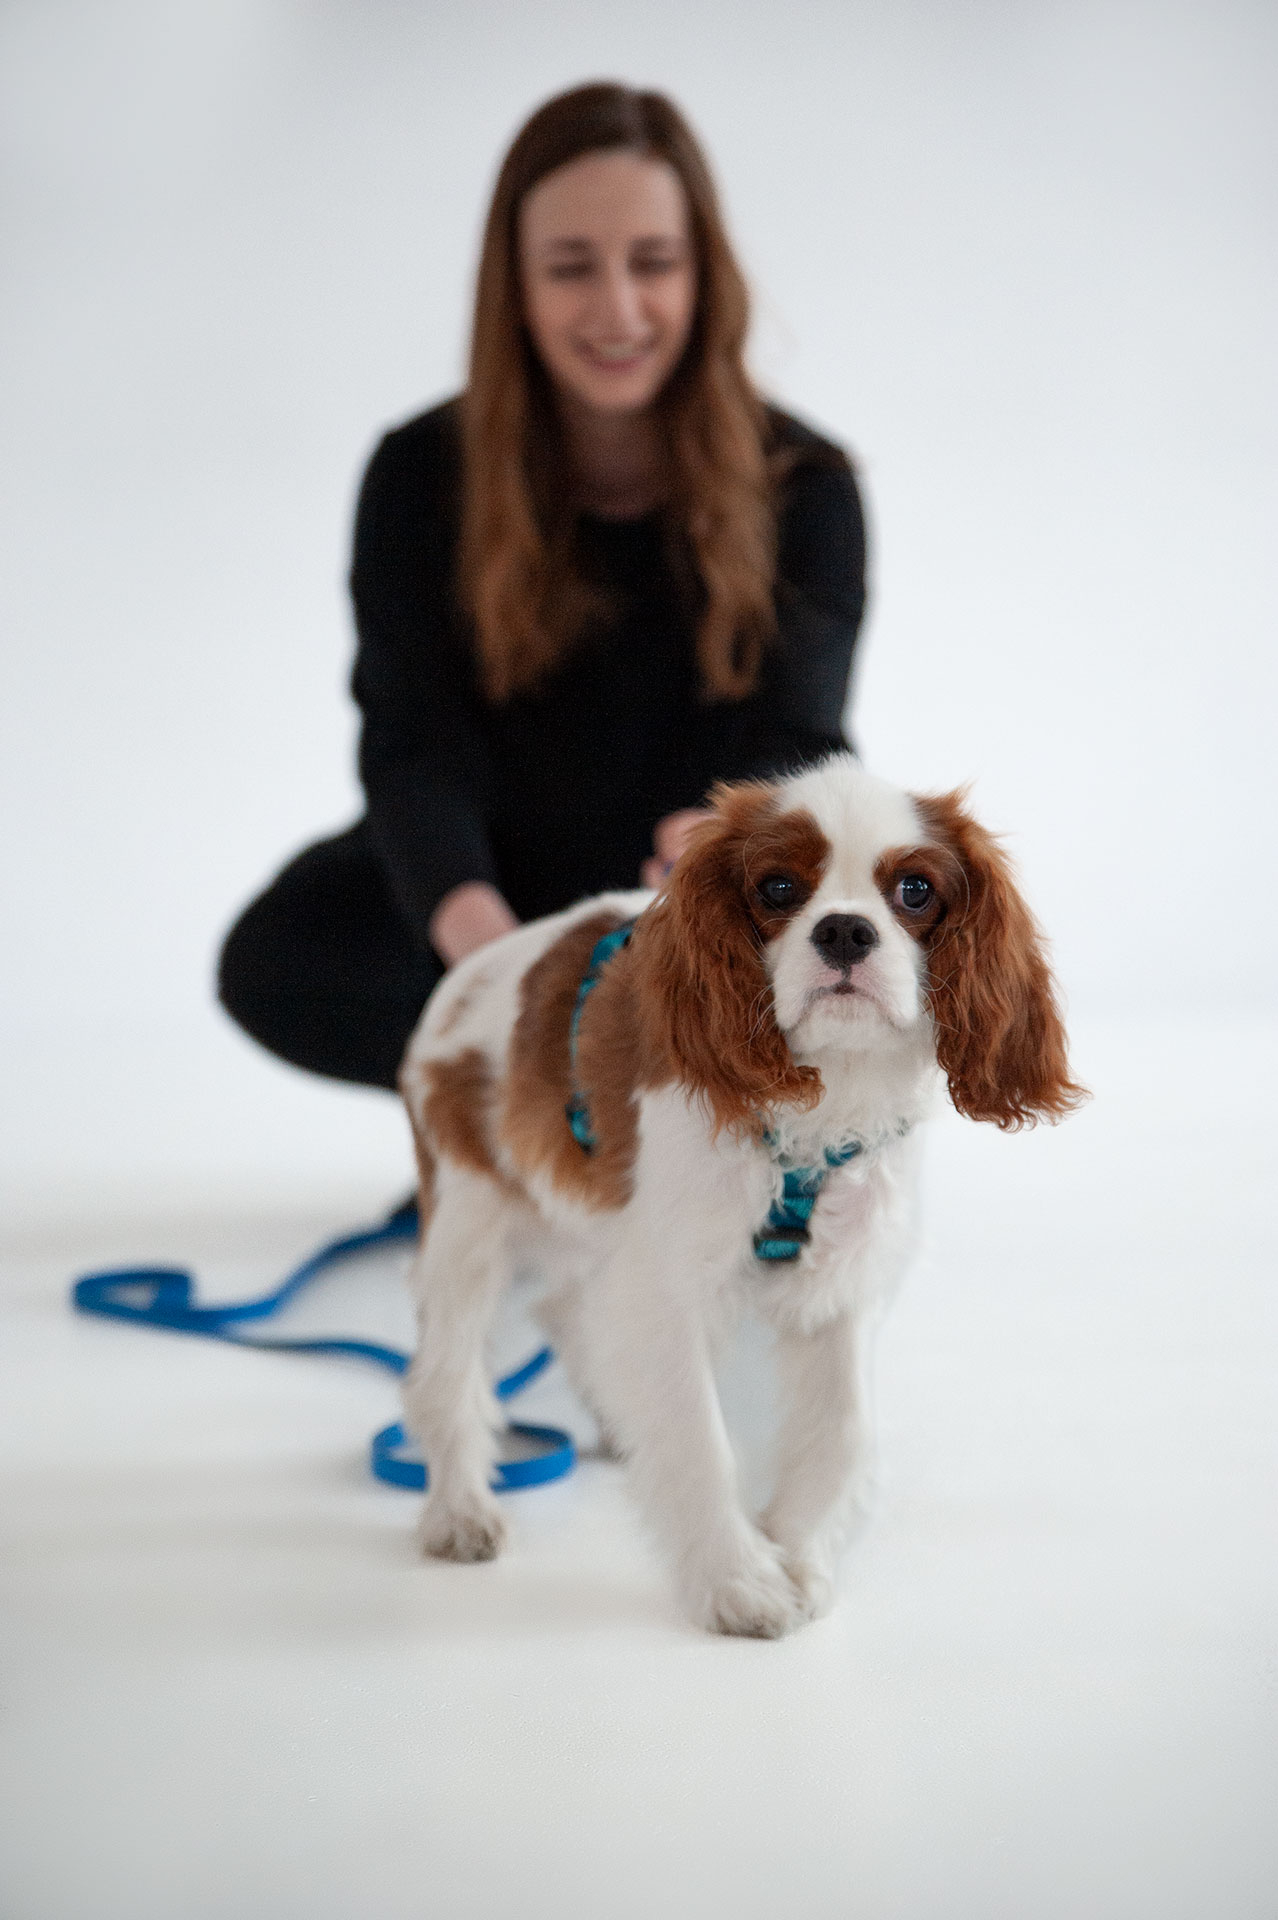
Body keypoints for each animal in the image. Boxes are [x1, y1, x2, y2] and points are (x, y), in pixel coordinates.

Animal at [398, 754, 1083, 1636]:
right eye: (780, 888)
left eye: (916, 891)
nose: (845, 931)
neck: (820, 1100)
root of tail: (470, 976)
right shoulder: (668, 1288)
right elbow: (697, 1438)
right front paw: (739, 1582)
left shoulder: (842, 1285)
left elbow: (843, 1431)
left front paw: (800, 1554)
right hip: (468, 1218)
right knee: (446, 1375)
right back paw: (458, 1511)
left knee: (565, 1308)